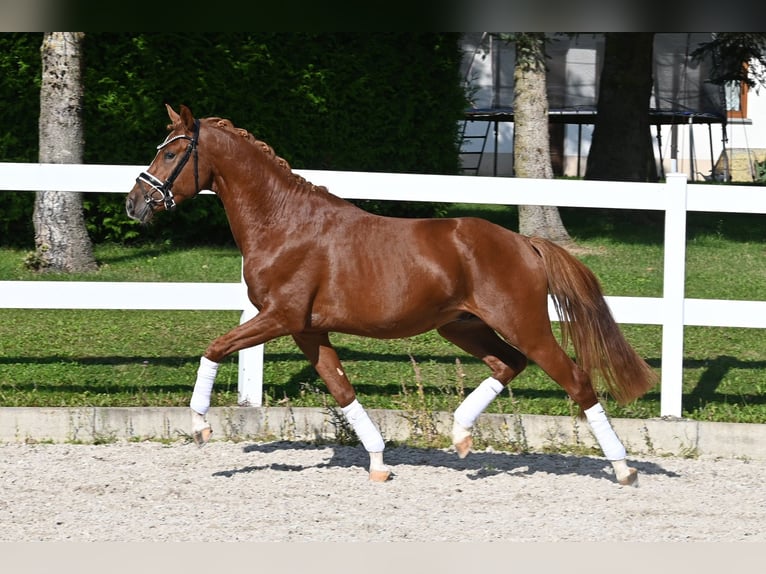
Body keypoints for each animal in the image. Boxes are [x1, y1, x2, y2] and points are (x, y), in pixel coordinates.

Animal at [127, 103, 660, 486]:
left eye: (171, 154)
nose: (134, 203)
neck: (284, 224)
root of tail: (524, 242)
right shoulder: (307, 330)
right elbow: (341, 388)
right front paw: (380, 463)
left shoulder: (280, 318)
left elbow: (215, 347)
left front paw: (200, 425)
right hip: (461, 326)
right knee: (508, 364)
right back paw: (461, 436)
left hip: (523, 325)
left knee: (576, 380)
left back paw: (623, 468)